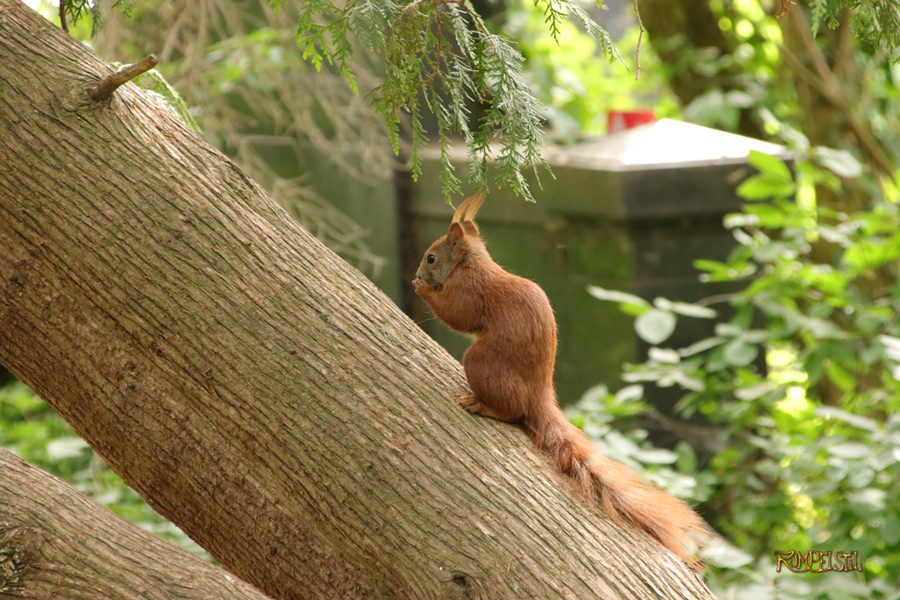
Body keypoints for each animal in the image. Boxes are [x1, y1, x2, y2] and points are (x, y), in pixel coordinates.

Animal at [412, 193, 708, 569]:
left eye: (431, 256)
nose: (419, 273)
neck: (470, 264)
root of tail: (540, 394)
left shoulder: (470, 291)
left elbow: (458, 315)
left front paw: (422, 289)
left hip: (479, 363)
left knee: (512, 412)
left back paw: (482, 405)